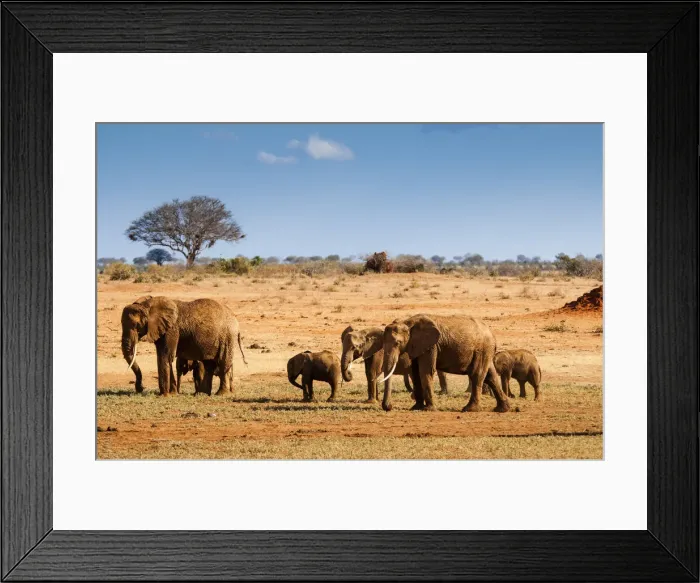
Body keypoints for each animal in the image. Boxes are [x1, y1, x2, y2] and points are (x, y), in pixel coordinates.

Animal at [381, 314, 510, 413]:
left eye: (397, 343)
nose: (389, 407)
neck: (408, 321)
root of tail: (492, 334)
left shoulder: (431, 346)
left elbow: (425, 372)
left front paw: (428, 409)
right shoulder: (417, 346)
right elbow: (416, 373)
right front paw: (415, 408)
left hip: (482, 349)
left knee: (476, 374)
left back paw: (469, 409)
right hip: (486, 350)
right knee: (490, 376)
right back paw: (502, 409)